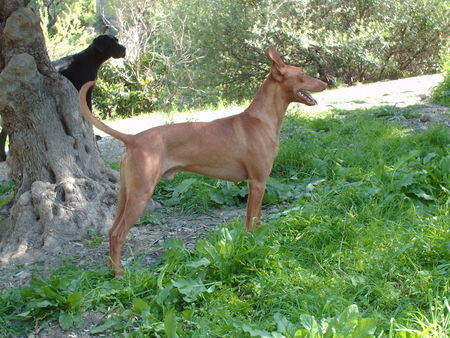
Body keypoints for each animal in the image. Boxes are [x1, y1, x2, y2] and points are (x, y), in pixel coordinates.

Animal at [80, 46, 326, 276]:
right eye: (302, 74)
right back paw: (119, 274)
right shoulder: (257, 182)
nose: (325, 82)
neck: (260, 120)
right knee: (118, 234)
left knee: (111, 231)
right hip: (141, 194)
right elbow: (251, 221)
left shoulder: (257, 183)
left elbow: (255, 221)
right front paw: (252, 245)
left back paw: (112, 268)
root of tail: (133, 138)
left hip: (126, 194)